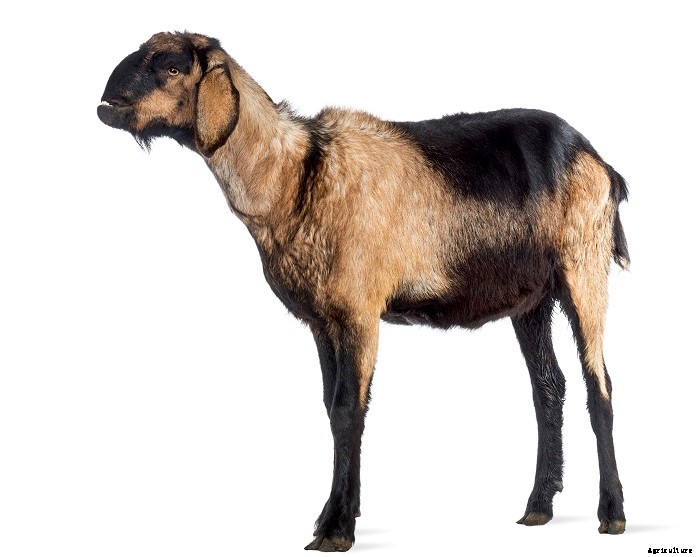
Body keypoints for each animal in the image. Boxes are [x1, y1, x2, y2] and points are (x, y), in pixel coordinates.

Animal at [97, 31, 629, 551]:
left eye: (172, 67)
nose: (107, 103)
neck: (296, 175)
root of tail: (600, 163)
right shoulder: (322, 321)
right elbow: (331, 406)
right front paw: (337, 515)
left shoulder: (359, 310)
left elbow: (349, 409)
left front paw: (336, 529)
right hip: (531, 299)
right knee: (549, 387)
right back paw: (539, 506)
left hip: (584, 266)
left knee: (598, 387)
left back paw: (612, 514)